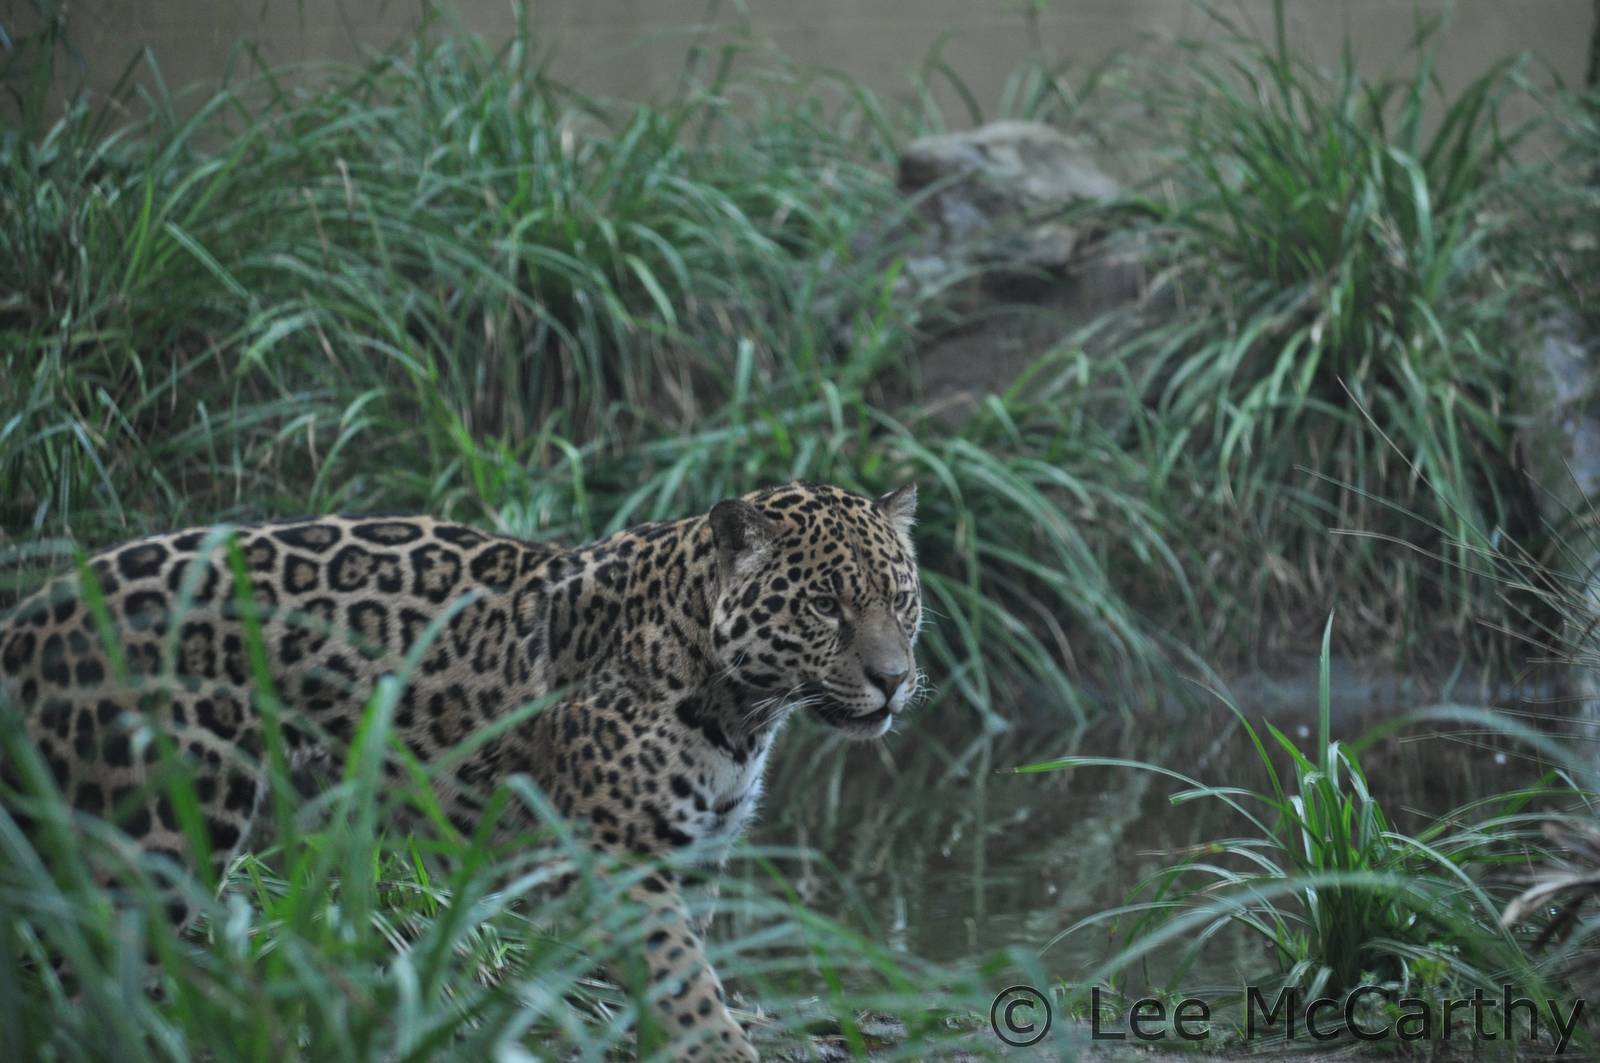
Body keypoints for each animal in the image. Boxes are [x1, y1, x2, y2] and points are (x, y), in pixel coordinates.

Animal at [0, 480, 921, 1061]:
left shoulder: (694, 856)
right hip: (152, 831)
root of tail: (39, 608)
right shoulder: (619, 859)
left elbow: (674, 984)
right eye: (826, 605)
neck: (743, 708)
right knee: (84, 974)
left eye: (901, 600)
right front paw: (722, 1048)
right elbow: (683, 981)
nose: (895, 679)